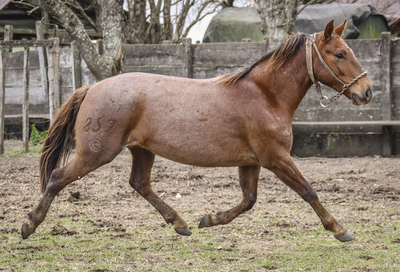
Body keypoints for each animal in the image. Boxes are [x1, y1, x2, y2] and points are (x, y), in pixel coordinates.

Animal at [21, 20, 372, 243]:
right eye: (340, 54)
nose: (366, 92)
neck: (265, 95)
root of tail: (91, 88)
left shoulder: (252, 161)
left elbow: (248, 200)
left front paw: (210, 219)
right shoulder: (276, 158)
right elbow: (308, 191)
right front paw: (340, 229)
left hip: (141, 150)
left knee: (139, 184)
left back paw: (180, 224)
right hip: (96, 153)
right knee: (58, 177)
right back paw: (29, 225)